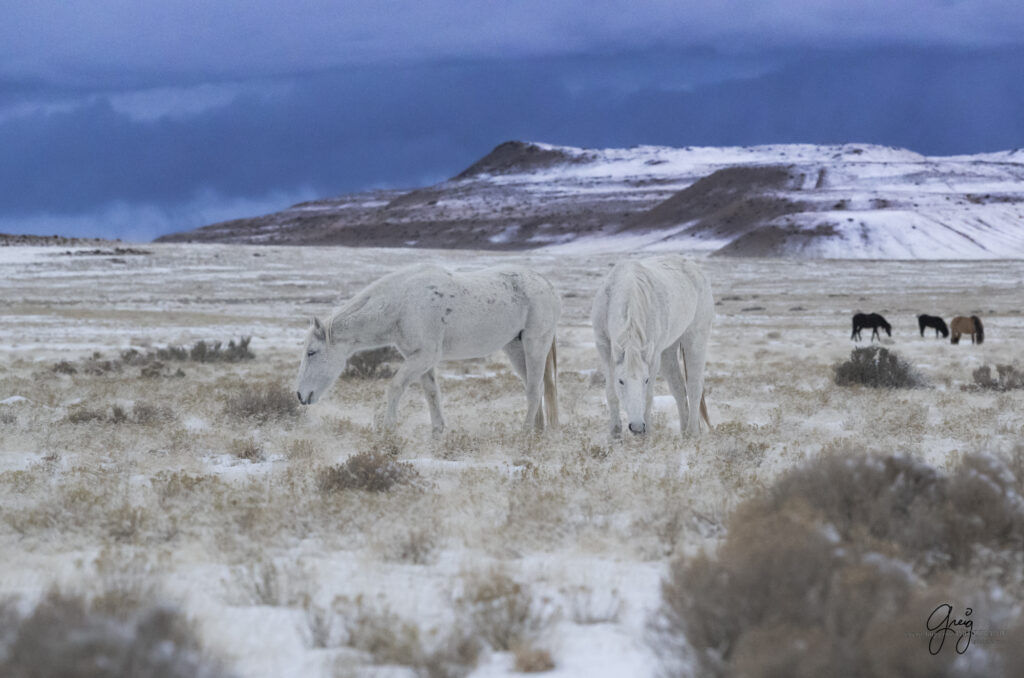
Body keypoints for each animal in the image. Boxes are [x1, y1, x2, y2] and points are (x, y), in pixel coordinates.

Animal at [294, 266, 561, 436]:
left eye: (311, 353)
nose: (300, 395)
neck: (401, 303)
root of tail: (546, 284)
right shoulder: (419, 359)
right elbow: (432, 393)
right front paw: (437, 432)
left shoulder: (423, 357)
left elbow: (395, 387)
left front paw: (387, 430)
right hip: (515, 348)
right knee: (536, 387)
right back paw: (538, 431)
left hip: (534, 345)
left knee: (534, 390)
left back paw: (524, 433)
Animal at [593, 256, 712, 440]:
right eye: (621, 381)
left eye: (646, 380)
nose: (636, 427)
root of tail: (695, 268)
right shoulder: (604, 347)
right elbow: (611, 392)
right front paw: (615, 433)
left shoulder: (654, 356)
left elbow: (648, 397)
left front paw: (646, 434)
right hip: (669, 351)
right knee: (678, 388)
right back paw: (683, 433)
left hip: (695, 339)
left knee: (694, 387)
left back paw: (692, 433)